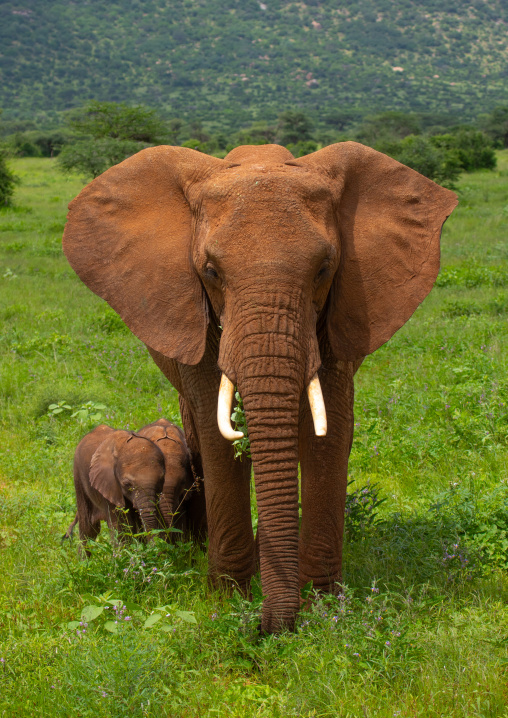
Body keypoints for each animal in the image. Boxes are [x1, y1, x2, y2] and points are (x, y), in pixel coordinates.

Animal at [66, 424, 166, 552]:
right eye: (127, 484)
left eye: (161, 480)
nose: (155, 547)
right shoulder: (109, 484)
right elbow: (121, 527)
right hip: (79, 477)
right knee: (88, 529)